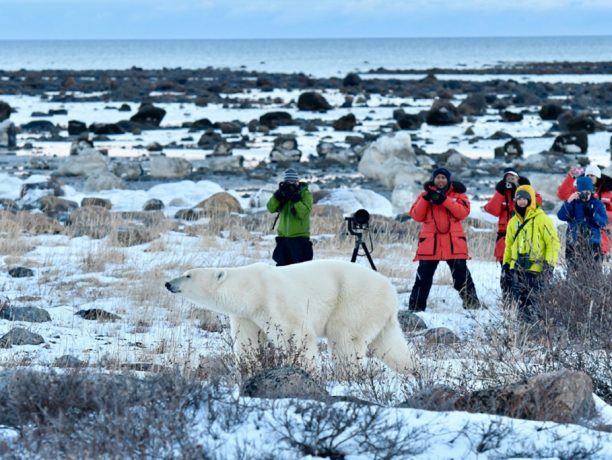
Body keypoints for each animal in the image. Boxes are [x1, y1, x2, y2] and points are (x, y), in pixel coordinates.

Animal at [165, 258, 418, 374]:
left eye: (188, 275)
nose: (168, 283)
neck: (251, 288)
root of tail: (391, 291)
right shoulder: (246, 314)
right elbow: (247, 341)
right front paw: (249, 368)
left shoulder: (274, 299)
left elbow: (296, 335)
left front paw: (306, 369)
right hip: (378, 312)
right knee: (389, 345)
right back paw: (413, 369)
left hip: (355, 299)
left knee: (345, 337)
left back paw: (347, 373)